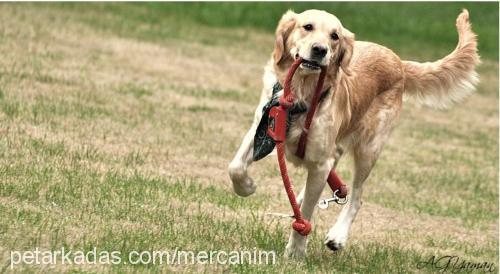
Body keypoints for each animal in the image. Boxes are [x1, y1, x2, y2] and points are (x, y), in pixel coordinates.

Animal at [229, 8, 478, 256]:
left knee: (356, 197)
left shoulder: (321, 162)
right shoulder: (262, 129)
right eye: (307, 26)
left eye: (334, 36)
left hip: (369, 149)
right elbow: (235, 167)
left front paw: (296, 251)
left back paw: (337, 235)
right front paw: (247, 187)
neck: (302, 95)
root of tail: (398, 61)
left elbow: (306, 215)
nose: (320, 50)